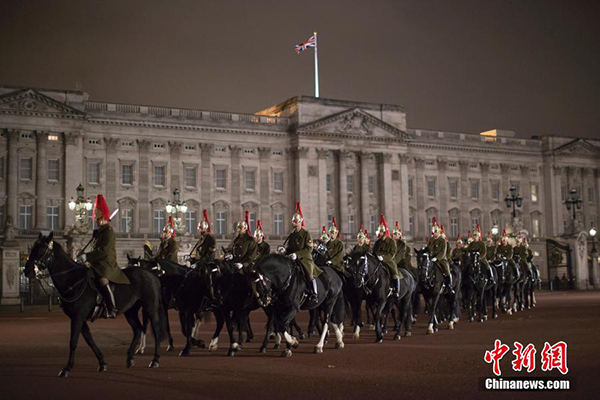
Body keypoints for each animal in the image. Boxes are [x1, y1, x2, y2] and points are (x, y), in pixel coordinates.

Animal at [23, 233, 165, 376]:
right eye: (33, 248)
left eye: (41, 250)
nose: (27, 271)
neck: (73, 280)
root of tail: (153, 275)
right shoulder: (79, 318)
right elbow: (89, 340)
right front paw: (102, 362)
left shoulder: (77, 318)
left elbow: (73, 341)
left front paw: (67, 368)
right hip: (130, 311)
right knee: (137, 329)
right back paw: (130, 357)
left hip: (150, 309)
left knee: (156, 332)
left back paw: (155, 360)